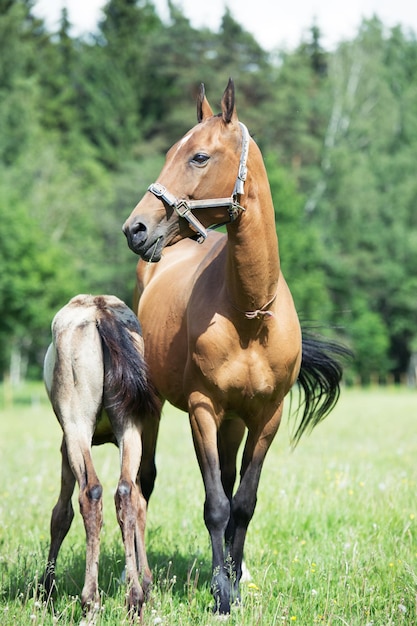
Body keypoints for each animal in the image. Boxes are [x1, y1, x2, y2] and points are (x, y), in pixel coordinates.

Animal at [40, 294, 158, 616]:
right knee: (127, 494)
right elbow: (140, 505)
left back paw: (90, 600)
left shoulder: (65, 442)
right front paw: (146, 583)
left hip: (77, 426)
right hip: (129, 428)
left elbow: (61, 514)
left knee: (90, 494)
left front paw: (46, 587)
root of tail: (101, 312)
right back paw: (134, 597)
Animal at [122, 80, 348, 612]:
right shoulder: (203, 410)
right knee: (145, 481)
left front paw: (233, 581)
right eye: (170, 152)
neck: (249, 316)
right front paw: (222, 595)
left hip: (235, 423)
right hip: (161, 408)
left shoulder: (267, 416)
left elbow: (242, 502)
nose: (136, 229)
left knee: (226, 481)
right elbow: (215, 505)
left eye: (199, 156)